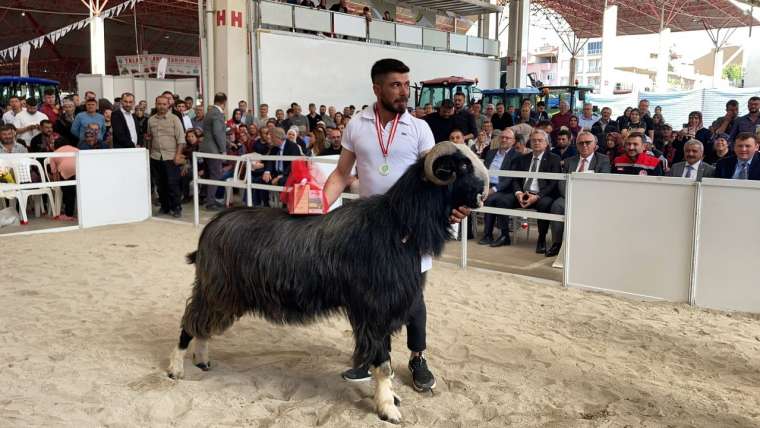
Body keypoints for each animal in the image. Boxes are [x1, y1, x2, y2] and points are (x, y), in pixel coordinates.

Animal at [166, 142, 486, 422]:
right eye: (461, 166)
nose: (484, 194)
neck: (398, 224)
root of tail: (212, 227)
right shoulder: (375, 311)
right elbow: (383, 365)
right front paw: (388, 409)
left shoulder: (380, 312)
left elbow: (385, 360)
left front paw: (390, 399)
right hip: (218, 289)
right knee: (190, 321)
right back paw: (175, 369)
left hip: (223, 295)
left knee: (203, 324)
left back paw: (202, 360)